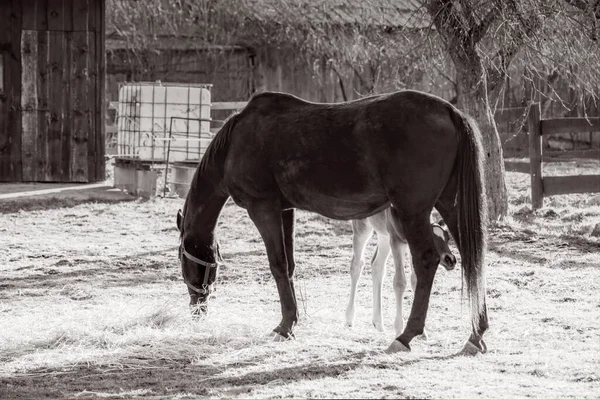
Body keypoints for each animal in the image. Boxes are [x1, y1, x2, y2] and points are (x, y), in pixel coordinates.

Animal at [344, 206, 458, 338]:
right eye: (432, 240)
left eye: (447, 238)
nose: (450, 260)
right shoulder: (396, 240)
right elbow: (399, 282)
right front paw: (399, 330)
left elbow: (415, 280)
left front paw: (421, 331)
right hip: (362, 227)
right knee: (357, 266)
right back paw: (349, 320)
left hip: (384, 235)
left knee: (377, 265)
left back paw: (378, 324)